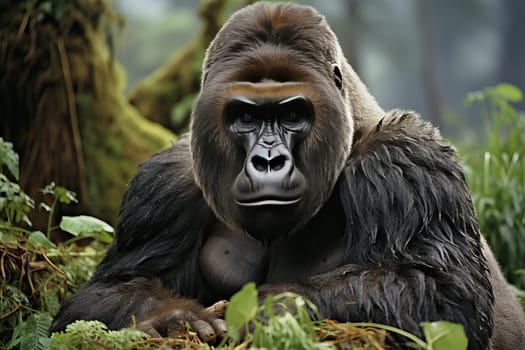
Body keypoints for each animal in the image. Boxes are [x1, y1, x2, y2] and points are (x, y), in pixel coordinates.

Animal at [49, 3, 524, 350]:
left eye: (292, 114)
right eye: (246, 116)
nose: (268, 161)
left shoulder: (407, 160)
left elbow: (444, 294)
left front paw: (271, 308)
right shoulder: (166, 182)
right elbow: (101, 293)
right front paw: (171, 318)